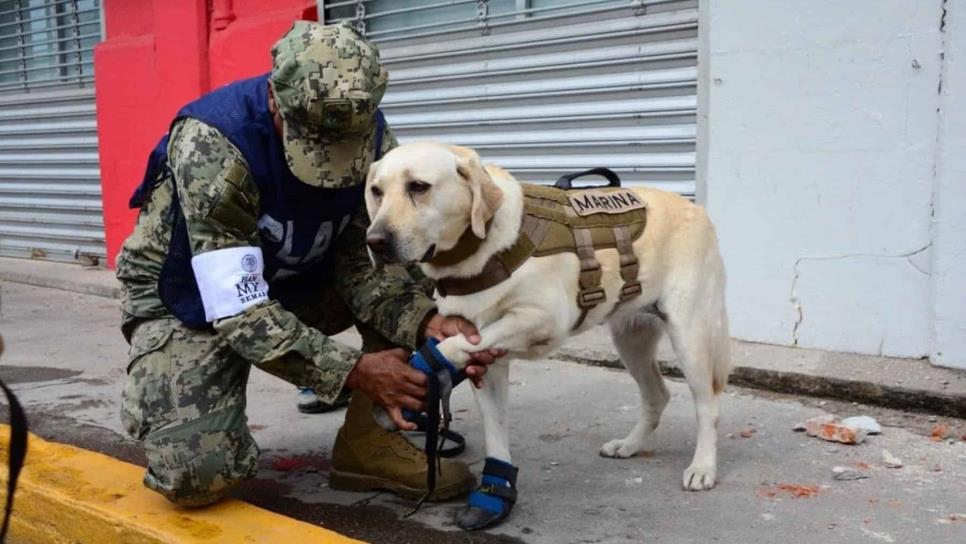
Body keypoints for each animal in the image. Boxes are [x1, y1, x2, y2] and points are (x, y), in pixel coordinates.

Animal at [366, 142, 728, 528]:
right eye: (376, 191)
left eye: (418, 187)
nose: (374, 241)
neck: (478, 249)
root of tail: (696, 208)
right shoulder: (489, 362)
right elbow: (495, 432)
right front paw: (495, 494)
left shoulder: (542, 319)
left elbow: (451, 346)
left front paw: (422, 368)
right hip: (631, 339)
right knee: (657, 395)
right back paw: (629, 445)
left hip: (690, 335)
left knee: (708, 405)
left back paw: (703, 467)